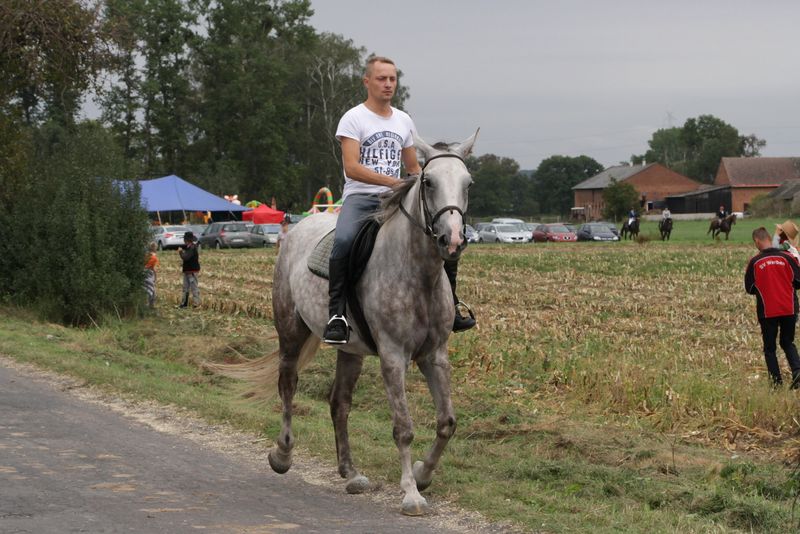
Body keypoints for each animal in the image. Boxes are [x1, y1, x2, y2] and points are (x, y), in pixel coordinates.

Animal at [216, 129, 478, 516]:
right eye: (429, 182)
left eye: (467, 183)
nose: (453, 239)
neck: (418, 273)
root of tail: (297, 228)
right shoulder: (393, 357)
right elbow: (403, 427)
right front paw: (411, 493)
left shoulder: (435, 355)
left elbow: (447, 422)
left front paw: (423, 473)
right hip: (290, 333)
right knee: (288, 386)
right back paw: (282, 454)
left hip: (350, 351)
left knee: (339, 404)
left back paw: (350, 473)